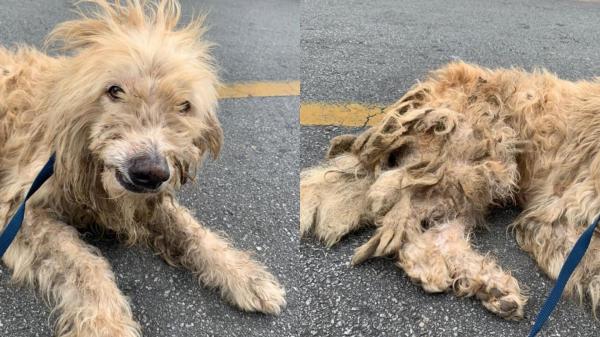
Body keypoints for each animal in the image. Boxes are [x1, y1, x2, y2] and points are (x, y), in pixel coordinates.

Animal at [0, 1, 286, 334]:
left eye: (184, 105)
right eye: (114, 90)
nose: (150, 172)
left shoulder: (148, 201)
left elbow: (190, 230)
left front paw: (244, 274)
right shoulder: (19, 211)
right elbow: (84, 264)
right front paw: (106, 324)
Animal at [300, 61, 600, 320]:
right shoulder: (556, 216)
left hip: (469, 182)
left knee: (436, 231)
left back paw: (492, 289)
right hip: (478, 157)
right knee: (401, 222)